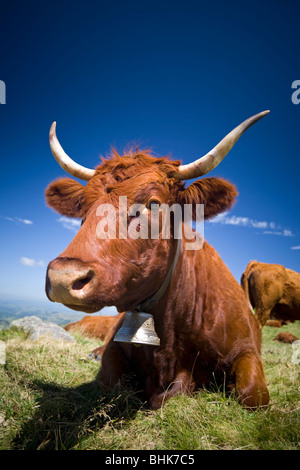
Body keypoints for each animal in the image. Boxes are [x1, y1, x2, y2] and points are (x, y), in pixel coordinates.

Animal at [45, 110, 270, 408]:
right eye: (83, 204)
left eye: (153, 203)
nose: (63, 277)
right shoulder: (116, 349)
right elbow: (112, 381)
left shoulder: (246, 350)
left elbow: (253, 394)